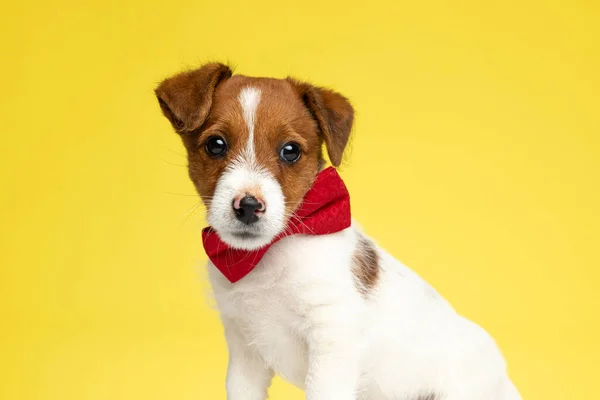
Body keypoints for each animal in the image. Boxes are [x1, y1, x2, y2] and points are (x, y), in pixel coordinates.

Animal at [155, 63, 520, 400]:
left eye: (290, 151)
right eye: (216, 145)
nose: (247, 206)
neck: (266, 257)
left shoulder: (331, 336)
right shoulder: (244, 350)